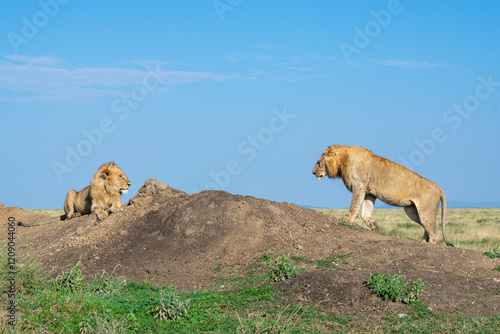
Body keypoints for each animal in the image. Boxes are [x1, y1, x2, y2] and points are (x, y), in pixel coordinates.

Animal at [312, 145, 454, 247]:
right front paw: (373, 225)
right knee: (427, 229)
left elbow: (354, 206)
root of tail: (438, 187)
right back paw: (422, 243)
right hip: (412, 211)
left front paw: (348, 219)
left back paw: (429, 246)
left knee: (434, 234)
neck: (343, 160)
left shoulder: (359, 187)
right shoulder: (369, 193)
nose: (313, 172)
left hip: (425, 212)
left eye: (318, 163)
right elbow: (365, 213)